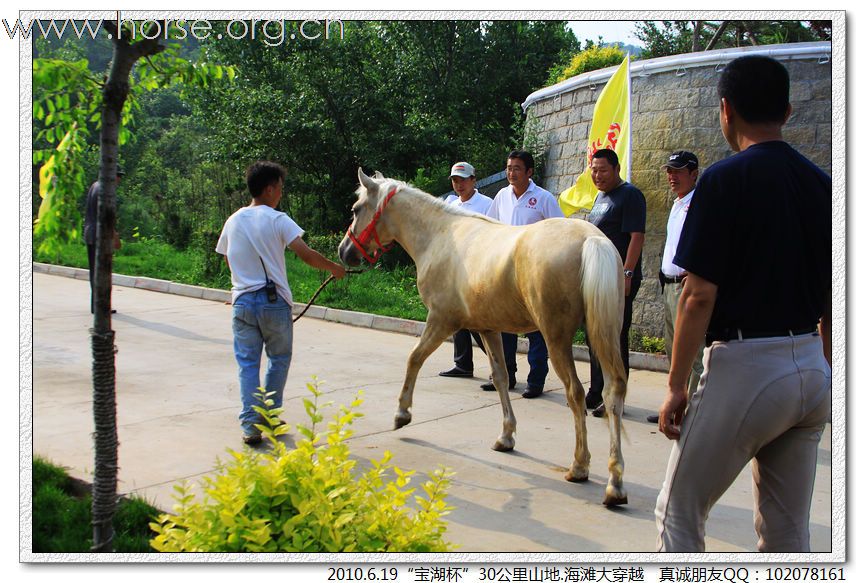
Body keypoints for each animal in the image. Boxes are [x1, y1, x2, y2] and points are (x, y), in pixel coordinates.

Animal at [338, 169, 628, 506]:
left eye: (356, 209)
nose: (344, 252)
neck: (440, 236)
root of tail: (591, 239)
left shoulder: (442, 320)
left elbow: (414, 358)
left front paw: (402, 413)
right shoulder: (489, 330)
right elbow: (501, 378)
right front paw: (506, 436)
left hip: (556, 339)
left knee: (576, 393)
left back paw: (580, 466)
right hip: (604, 335)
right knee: (613, 393)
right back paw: (615, 483)